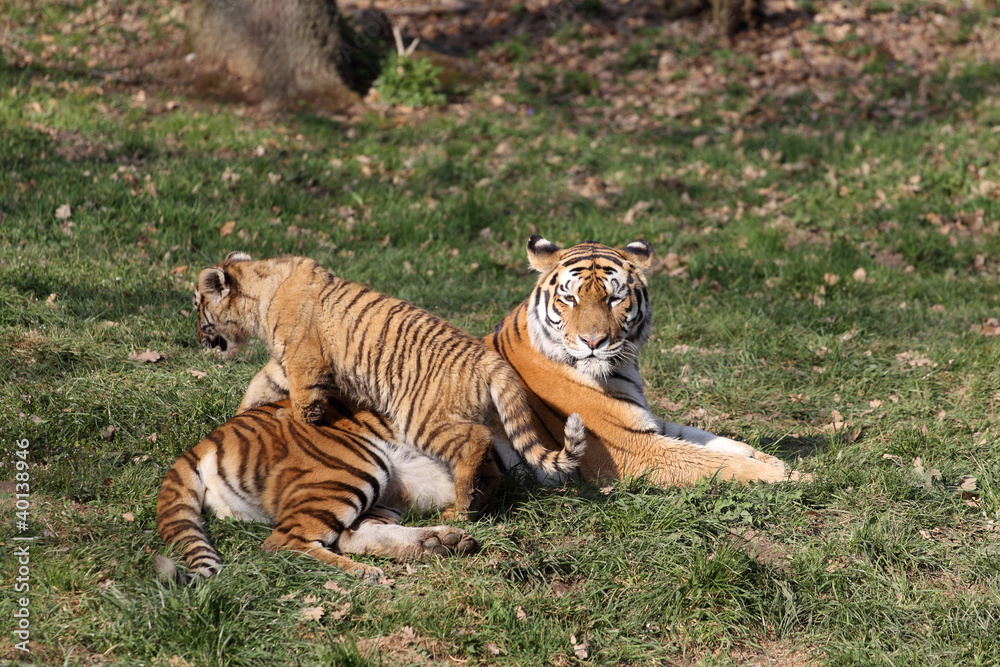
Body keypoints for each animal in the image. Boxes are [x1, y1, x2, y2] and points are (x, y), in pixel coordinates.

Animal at [155, 397, 477, 584]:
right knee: (282, 542)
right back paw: (365, 570)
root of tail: (207, 440)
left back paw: (439, 542)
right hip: (359, 466)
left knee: (351, 533)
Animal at [193, 252, 587, 519]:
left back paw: (461, 508)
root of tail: (491, 360)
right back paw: (476, 502)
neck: (262, 292)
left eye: (197, 305)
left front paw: (293, 425)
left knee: (474, 442)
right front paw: (240, 414)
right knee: (487, 457)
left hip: (421, 419)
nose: (199, 339)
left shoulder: (305, 362)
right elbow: (258, 385)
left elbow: (303, 405)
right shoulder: (282, 363)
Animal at [484, 235, 792, 486]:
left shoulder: (648, 424)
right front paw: (790, 476)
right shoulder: (629, 447)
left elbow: (714, 441)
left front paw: (771, 459)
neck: (622, 369)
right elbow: (718, 462)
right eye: (569, 298)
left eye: (614, 298)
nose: (593, 341)